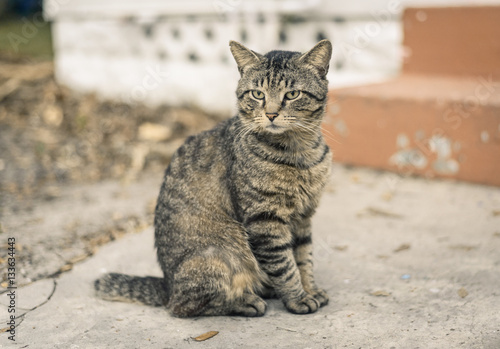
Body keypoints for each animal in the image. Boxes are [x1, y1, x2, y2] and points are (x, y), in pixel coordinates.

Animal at [95, 39, 334, 316]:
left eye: (292, 94)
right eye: (258, 94)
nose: (272, 114)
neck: (300, 152)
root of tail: (166, 284)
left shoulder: (304, 216)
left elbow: (304, 258)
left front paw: (310, 289)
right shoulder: (265, 220)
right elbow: (285, 265)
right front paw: (298, 298)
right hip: (222, 251)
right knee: (184, 305)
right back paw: (245, 301)